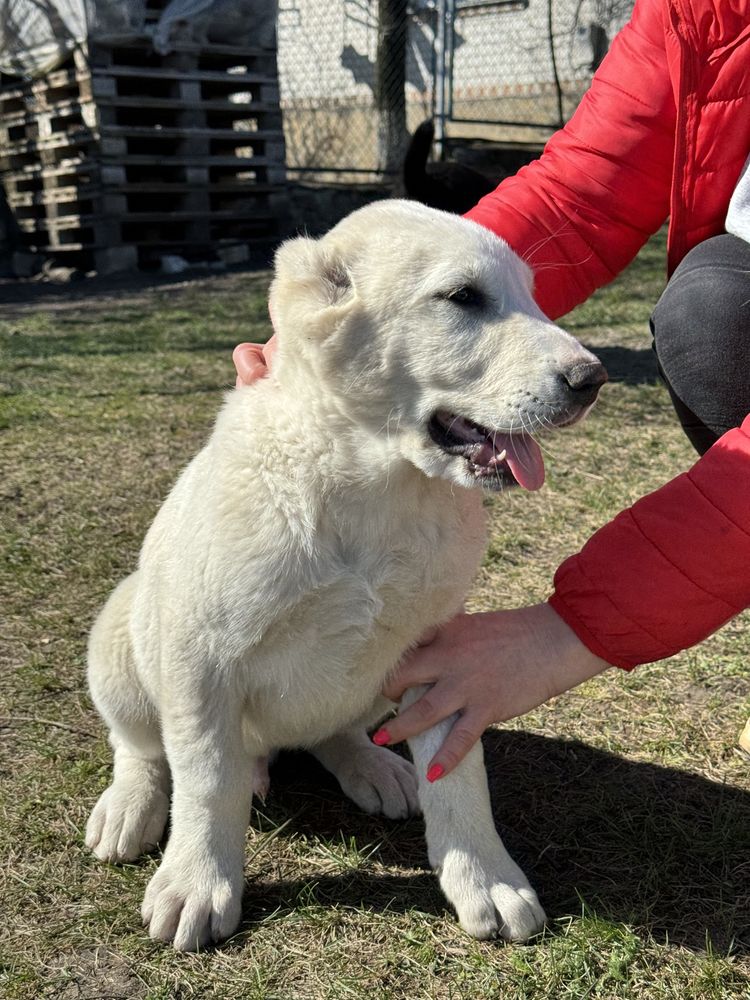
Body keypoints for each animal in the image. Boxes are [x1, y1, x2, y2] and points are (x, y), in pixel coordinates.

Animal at [85, 197, 608, 952]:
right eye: (463, 298)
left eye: (534, 296)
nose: (592, 380)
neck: (375, 489)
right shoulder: (198, 659)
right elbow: (206, 780)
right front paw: (197, 883)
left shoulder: (444, 658)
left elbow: (461, 774)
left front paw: (483, 877)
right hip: (120, 640)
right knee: (141, 746)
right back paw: (129, 806)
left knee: (331, 732)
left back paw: (373, 765)